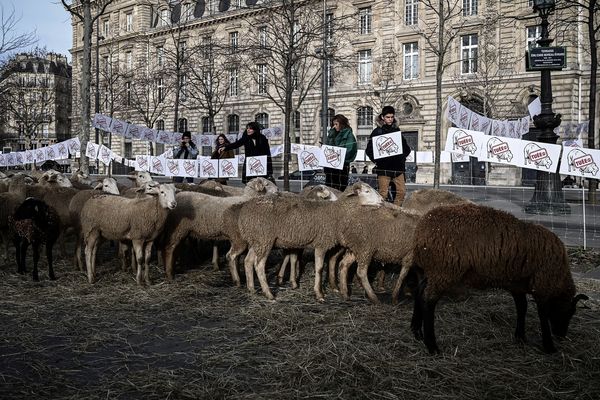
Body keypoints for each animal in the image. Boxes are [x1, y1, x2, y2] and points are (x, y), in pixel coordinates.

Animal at [410, 205, 588, 354]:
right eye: (569, 312)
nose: (561, 335)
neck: (560, 275)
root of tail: (419, 233)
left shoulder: (517, 284)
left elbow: (522, 308)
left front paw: (520, 337)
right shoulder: (542, 285)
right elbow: (542, 316)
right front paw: (549, 346)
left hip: (432, 271)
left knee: (419, 291)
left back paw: (417, 332)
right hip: (444, 270)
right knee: (428, 300)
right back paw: (432, 346)